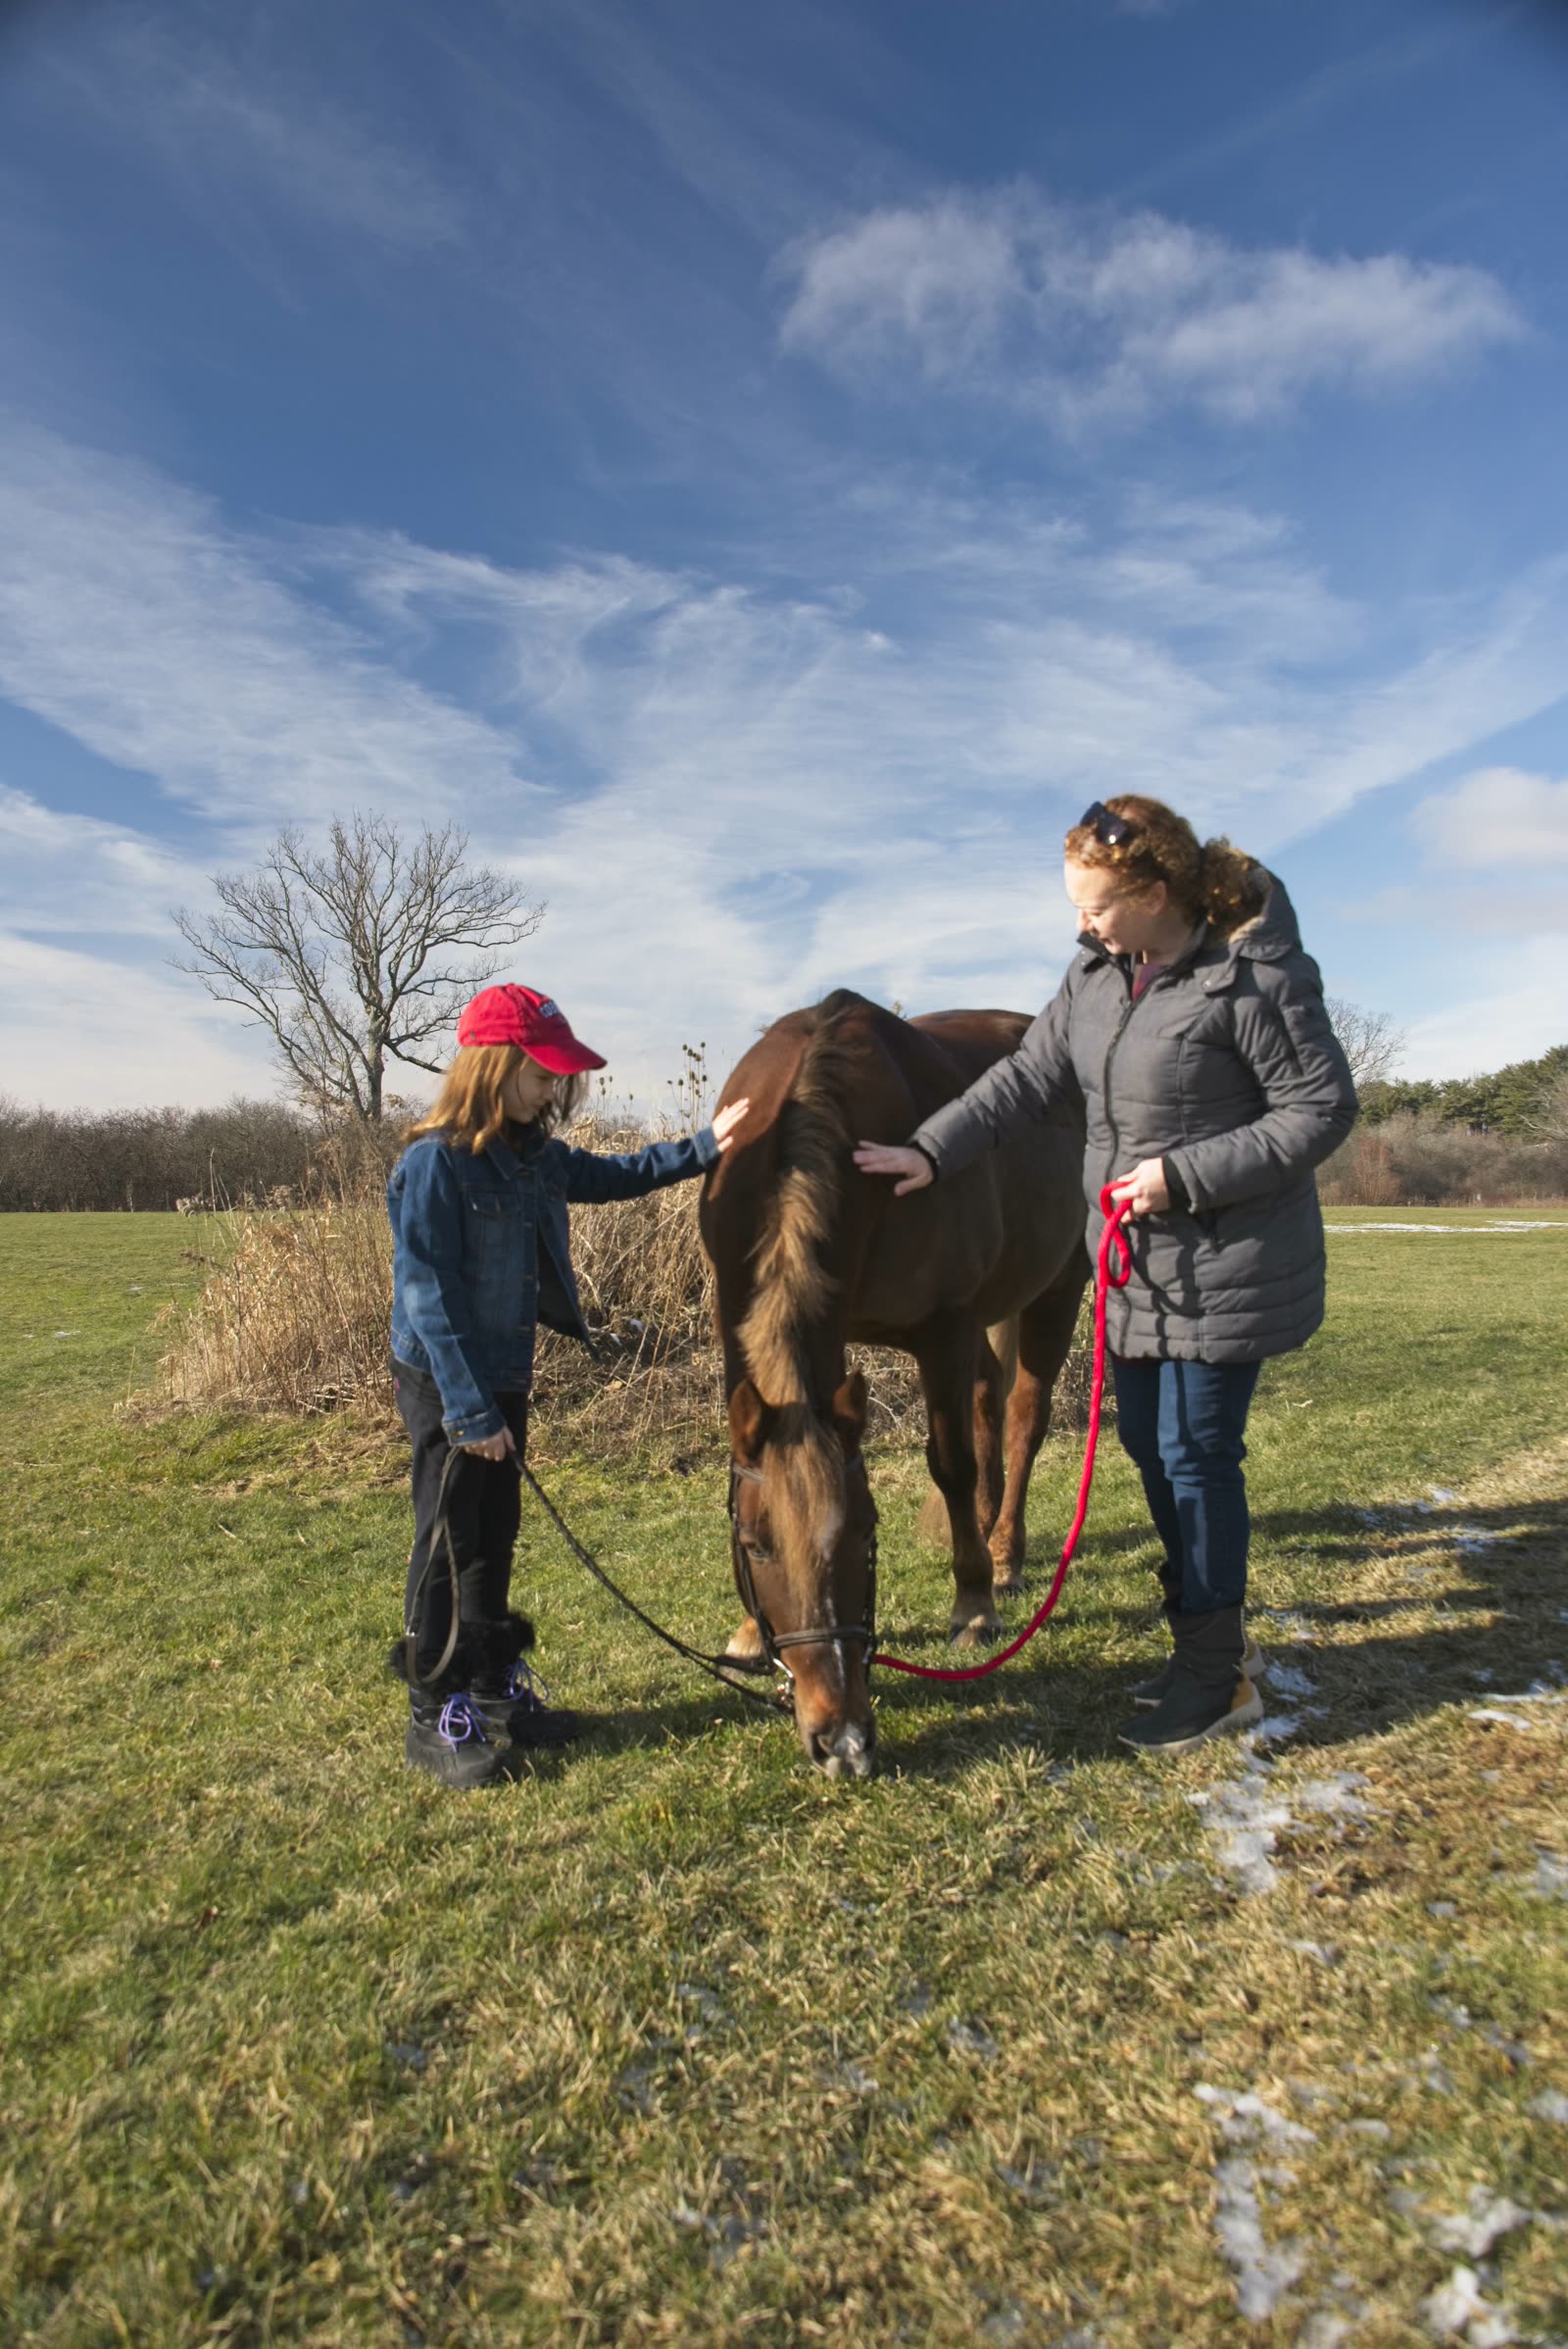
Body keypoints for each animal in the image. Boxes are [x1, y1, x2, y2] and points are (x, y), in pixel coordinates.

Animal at [699, 989, 1088, 1777]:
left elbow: (951, 1463)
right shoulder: (734, 1322)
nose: (842, 1740)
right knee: (989, 1402)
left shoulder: (945, 1330)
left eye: (866, 1532)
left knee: (1023, 1420)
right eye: (756, 1543)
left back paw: (1002, 1555)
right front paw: (751, 1631)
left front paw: (972, 1603)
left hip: (1056, 1291)